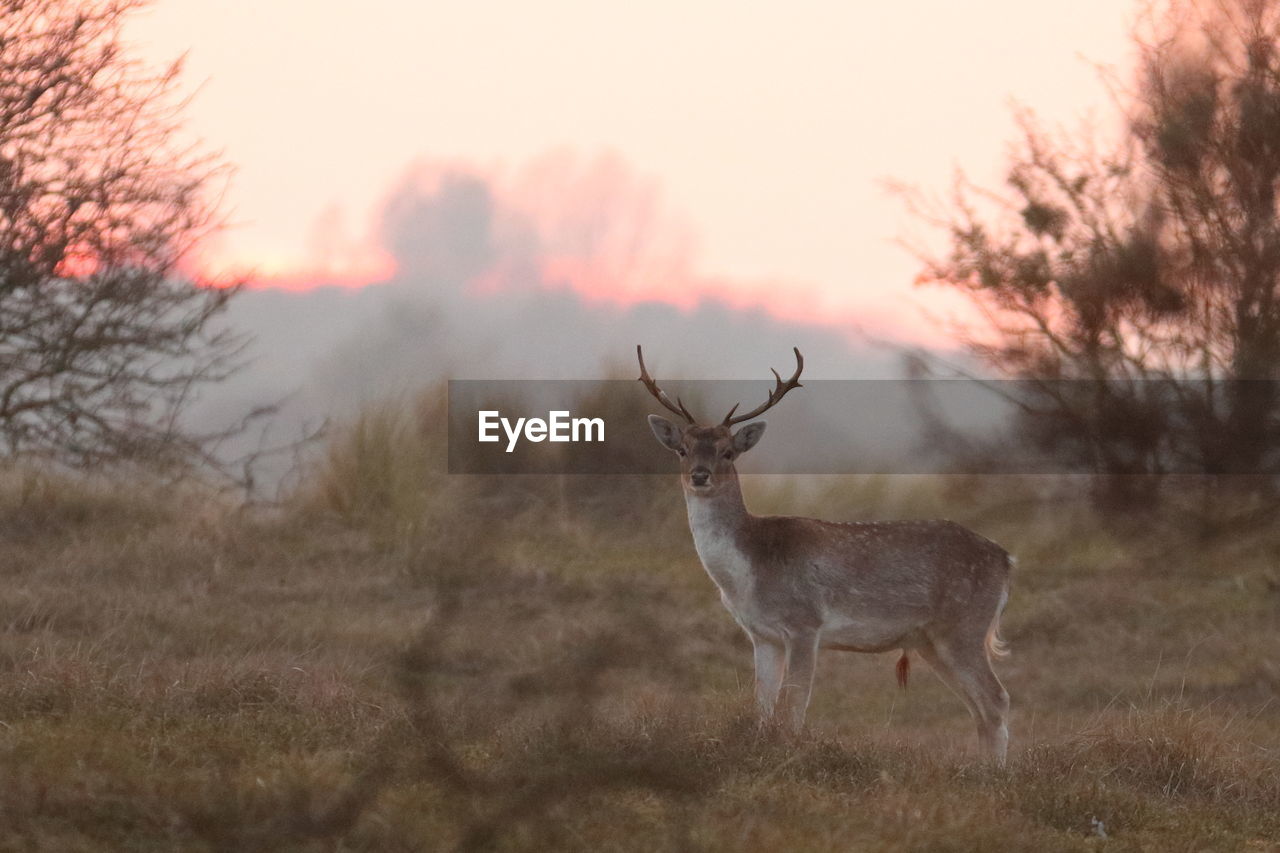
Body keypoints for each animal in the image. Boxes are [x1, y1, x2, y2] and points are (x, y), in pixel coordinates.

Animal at [634, 343, 1013, 758]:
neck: (748, 573)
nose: (700, 475)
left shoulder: (805, 622)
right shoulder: (762, 634)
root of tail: (1006, 560)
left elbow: (793, 706)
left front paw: (790, 751)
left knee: (996, 698)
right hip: (932, 640)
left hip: (965, 625)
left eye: (728, 451)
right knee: (980, 708)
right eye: (682, 450)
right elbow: (763, 707)